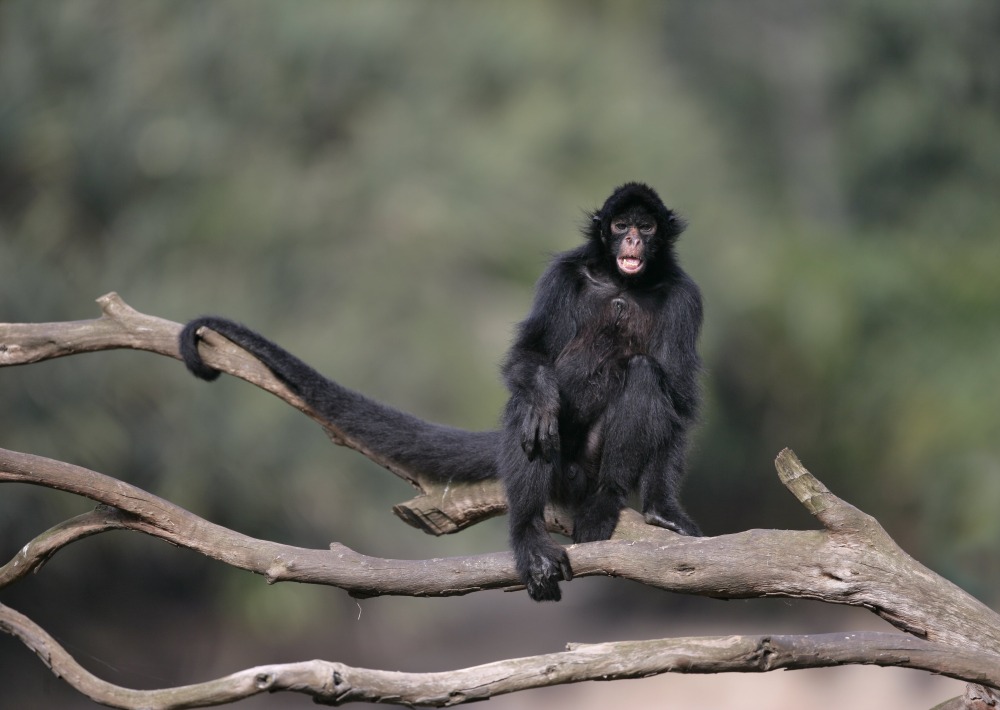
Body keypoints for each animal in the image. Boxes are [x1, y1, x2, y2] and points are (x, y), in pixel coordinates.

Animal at [180, 182, 704, 600]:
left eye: (646, 227)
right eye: (620, 225)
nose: (632, 238)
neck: (619, 283)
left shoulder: (685, 295)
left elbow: (679, 398)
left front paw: (663, 509)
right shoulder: (564, 273)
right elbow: (530, 358)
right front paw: (540, 398)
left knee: (644, 374)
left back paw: (603, 502)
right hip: (565, 470)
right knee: (532, 412)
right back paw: (528, 535)